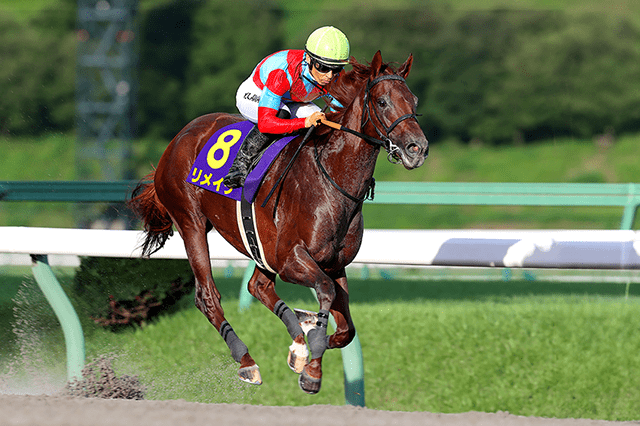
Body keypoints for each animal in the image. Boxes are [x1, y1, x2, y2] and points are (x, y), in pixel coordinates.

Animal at [129, 50, 430, 396]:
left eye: (413, 100)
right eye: (381, 102)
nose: (418, 149)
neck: (332, 178)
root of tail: (178, 138)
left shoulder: (333, 263)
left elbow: (346, 330)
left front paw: (308, 341)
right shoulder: (291, 259)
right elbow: (326, 293)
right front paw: (312, 365)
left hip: (260, 245)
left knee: (257, 286)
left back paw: (298, 337)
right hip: (191, 223)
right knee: (207, 297)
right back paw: (247, 361)